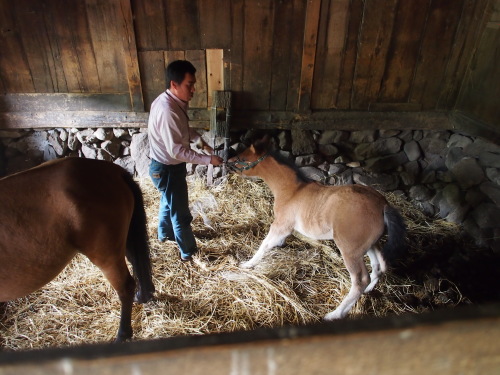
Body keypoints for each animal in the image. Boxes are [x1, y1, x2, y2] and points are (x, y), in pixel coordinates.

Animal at [0, 157, 154, 342]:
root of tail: (114, 171)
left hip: (106, 256)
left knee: (126, 286)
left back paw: (122, 334)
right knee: (136, 261)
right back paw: (144, 295)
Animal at [229, 138, 406, 320]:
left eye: (241, 157)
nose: (227, 162)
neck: (292, 191)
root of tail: (383, 205)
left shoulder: (281, 225)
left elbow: (264, 245)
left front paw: (247, 264)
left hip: (350, 249)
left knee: (360, 280)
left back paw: (335, 314)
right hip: (369, 245)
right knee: (379, 265)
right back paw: (369, 289)